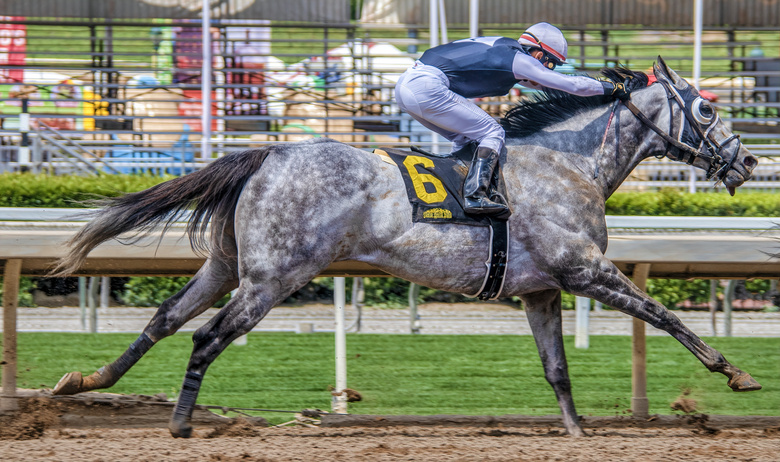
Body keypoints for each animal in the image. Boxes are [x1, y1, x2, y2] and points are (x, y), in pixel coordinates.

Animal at [50, 57, 761, 438]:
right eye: (705, 111)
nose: (748, 160)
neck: (569, 164)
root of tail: (268, 153)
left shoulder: (541, 290)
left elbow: (557, 368)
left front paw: (577, 431)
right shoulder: (585, 271)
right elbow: (664, 314)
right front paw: (735, 372)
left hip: (228, 267)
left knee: (166, 317)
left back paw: (84, 381)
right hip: (273, 278)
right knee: (205, 336)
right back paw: (179, 422)